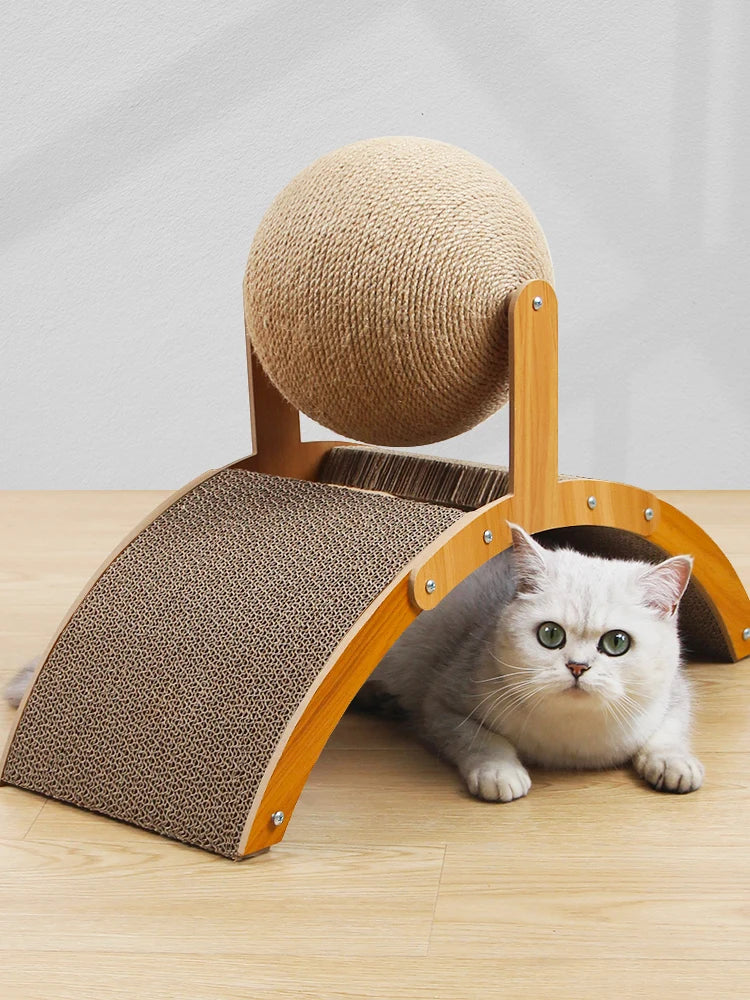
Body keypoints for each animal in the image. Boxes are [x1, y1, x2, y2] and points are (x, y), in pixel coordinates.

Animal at [368, 524, 708, 796]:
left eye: (617, 642)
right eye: (551, 634)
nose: (577, 667)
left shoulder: (676, 693)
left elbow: (669, 731)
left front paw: (674, 763)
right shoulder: (442, 705)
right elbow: (480, 739)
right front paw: (499, 771)